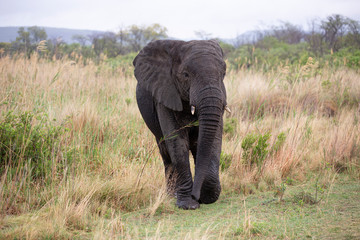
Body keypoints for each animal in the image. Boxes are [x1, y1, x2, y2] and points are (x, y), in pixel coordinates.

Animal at [134, 39, 229, 210]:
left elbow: (214, 141)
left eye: (223, 73)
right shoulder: (165, 96)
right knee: (166, 151)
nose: (195, 196)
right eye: (186, 75)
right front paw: (188, 204)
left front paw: (205, 197)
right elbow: (177, 142)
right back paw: (171, 195)